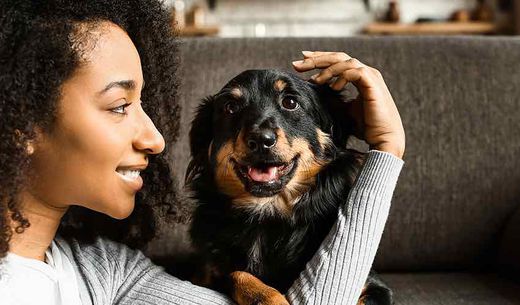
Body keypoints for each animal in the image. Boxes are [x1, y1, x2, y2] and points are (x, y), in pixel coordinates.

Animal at [185, 69, 392, 304]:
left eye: (290, 102)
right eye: (230, 107)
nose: (261, 140)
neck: (266, 213)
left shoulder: (374, 285)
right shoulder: (205, 273)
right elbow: (236, 274)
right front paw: (268, 297)